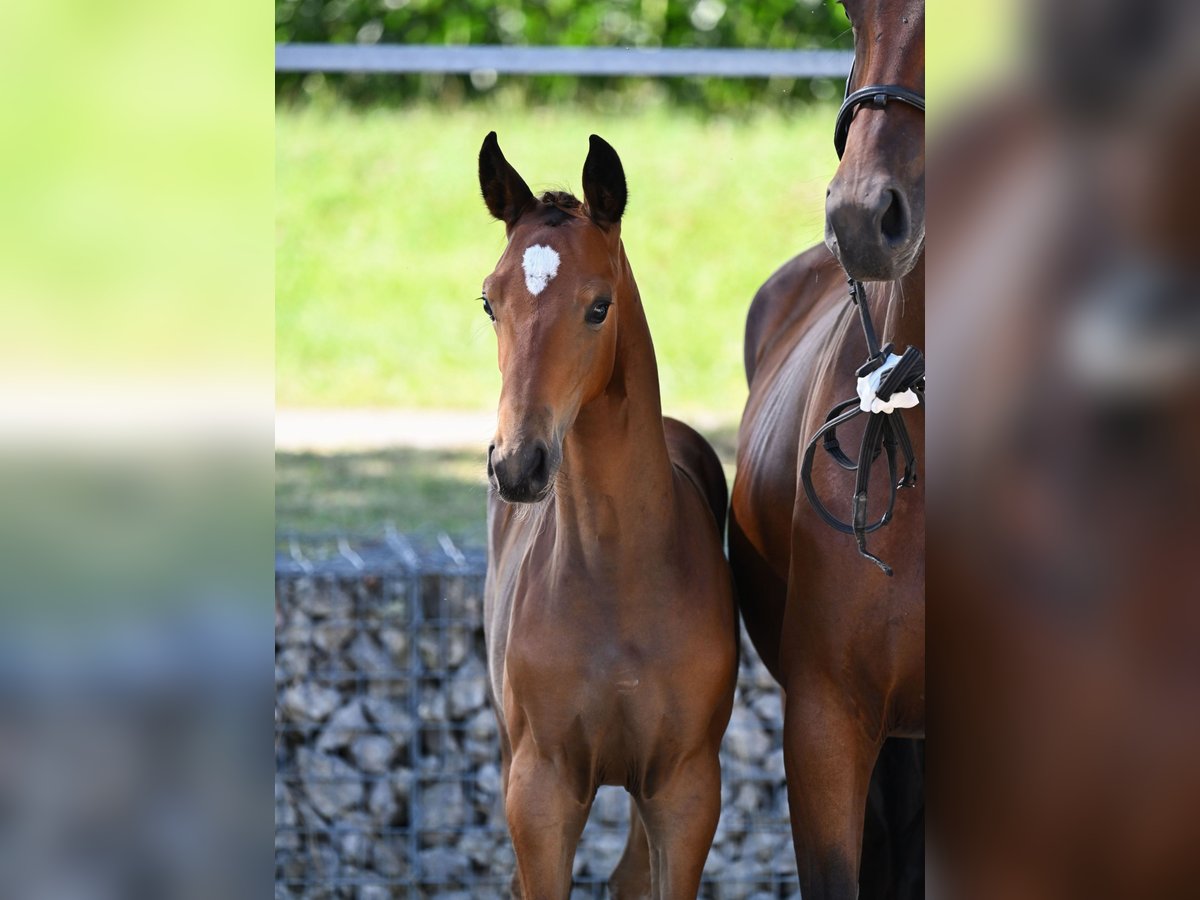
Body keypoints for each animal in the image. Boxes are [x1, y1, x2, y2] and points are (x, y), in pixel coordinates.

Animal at [477, 130, 739, 897]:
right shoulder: (539, 791)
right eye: (489, 303)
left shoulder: (686, 790)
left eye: (598, 306)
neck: (617, 573)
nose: (518, 464)